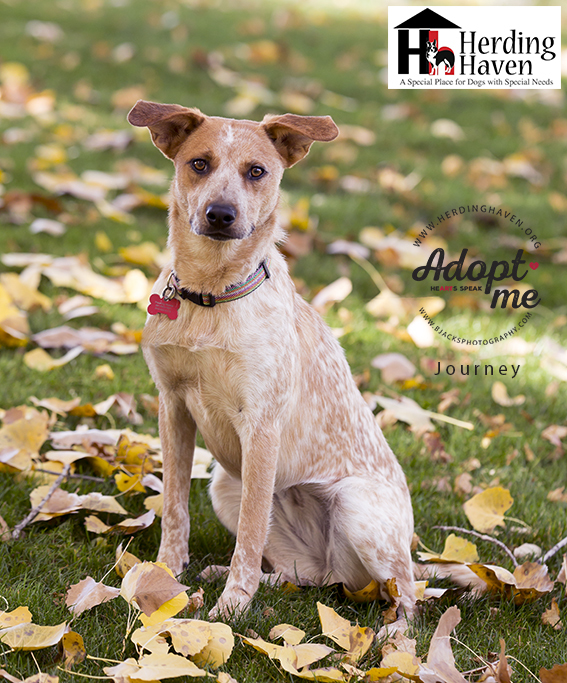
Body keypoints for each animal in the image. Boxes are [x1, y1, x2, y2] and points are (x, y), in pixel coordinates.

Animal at [126, 100, 414, 620]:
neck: (210, 297)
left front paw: (231, 610)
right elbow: (175, 506)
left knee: (407, 595)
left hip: (358, 509)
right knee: (308, 576)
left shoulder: (260, 425)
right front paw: (164, 575)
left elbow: (251, 528)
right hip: (224, 484)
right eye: (199, 163)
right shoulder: (172, 406)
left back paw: (389, 634)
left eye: (256, 171)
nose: (221, 214)